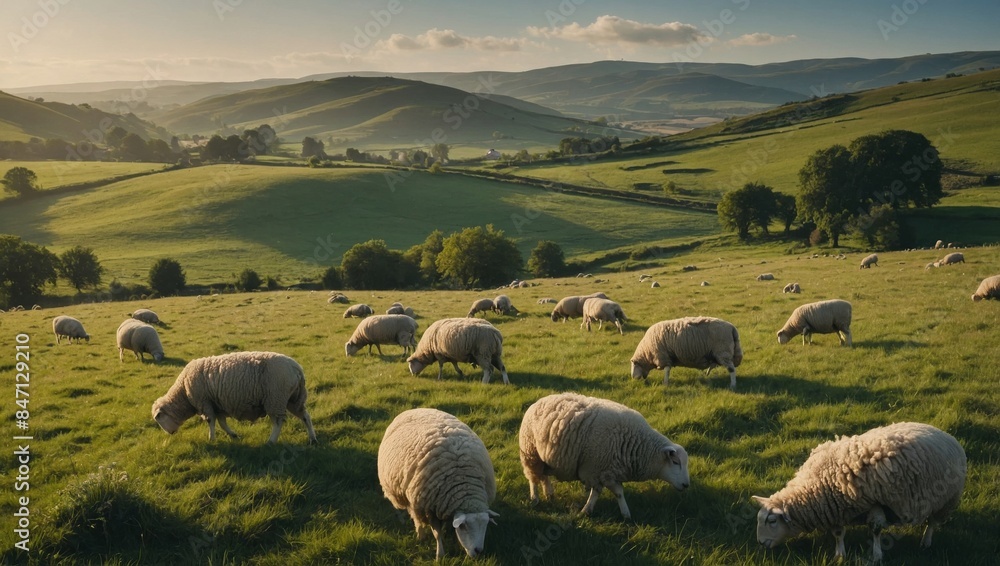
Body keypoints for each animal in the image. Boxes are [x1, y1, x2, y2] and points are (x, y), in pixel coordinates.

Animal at [151, 351, 316, 444]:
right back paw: (312, 438)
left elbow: (210, 421)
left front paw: (211, 439)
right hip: (293, 398)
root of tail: (296, 368)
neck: (183, 393)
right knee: (305, 416)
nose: (170, 434)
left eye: (158, 419)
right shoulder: (217, 404)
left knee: (277, 422)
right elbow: (222, 422)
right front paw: (233, 435)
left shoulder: (205, 402)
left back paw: (271, 441)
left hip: (275, 397)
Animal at [378, 408, 498, 561]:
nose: (478, 551)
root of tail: (415, 409)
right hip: (404, 493)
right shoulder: (429, 508)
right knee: (410, 512)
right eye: (463, 526)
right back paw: (418, 533)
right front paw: (439, 554)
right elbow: (436, 533)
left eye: (486, 524)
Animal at [518, 392, 689, 520]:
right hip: (530, 453)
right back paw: (535, 498)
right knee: (533, 478)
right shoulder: (594, 469)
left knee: (543, 476)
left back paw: (549, 494)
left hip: (544, 458)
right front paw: (586, 510)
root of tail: (538, 401)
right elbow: (601, 491)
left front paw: (625, 514)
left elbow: (616, 492)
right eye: (675, 462)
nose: (686, 485)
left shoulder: (607, 471)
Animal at [752, 422, 966, 562]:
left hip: (946, 500)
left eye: (772, 521)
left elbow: (876, 529)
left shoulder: (876, 502)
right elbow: (838, 533)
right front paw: (840, 554)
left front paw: (877, 554)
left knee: (932, 523)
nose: (760, 543)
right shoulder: (836, 508)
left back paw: (926, 542)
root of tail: (943, 432)